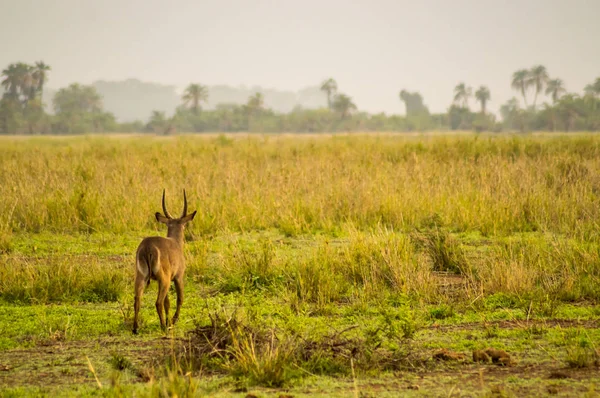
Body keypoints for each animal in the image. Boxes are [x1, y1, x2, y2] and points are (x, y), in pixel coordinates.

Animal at [132, 189, 196, 332]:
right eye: (184, 225)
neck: (176, 243)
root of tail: (147, 247)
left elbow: (168, 302)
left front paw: (168, 322)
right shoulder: (178, 277)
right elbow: (180, 298)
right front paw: (172, 321)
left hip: (142, 277)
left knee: (137, 300)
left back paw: (135, 328)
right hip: (164, 280)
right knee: (158, 302)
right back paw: (162, 327)